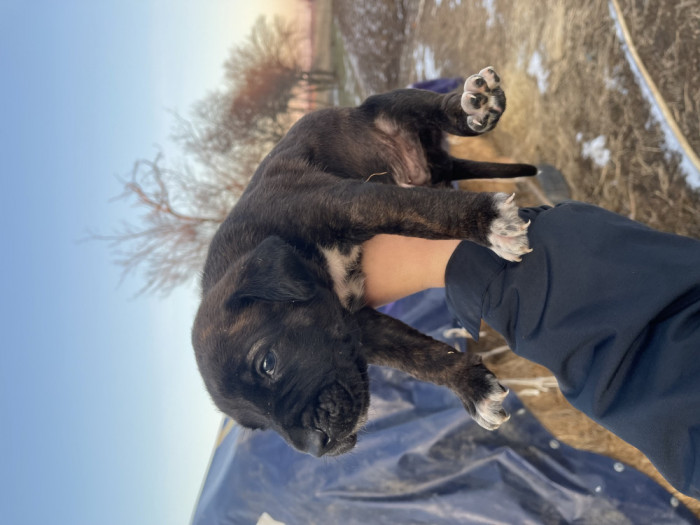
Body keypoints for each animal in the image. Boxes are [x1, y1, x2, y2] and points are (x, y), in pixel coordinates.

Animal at [191, 68, 536, 454]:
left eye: (268, 363)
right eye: (259, 426)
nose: (316, 446)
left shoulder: (348, 202)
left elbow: (422, 212)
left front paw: (488, 222)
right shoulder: (361, 325)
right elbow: (418, 356)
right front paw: (471, 386)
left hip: (389, 105)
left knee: (442, 113)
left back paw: (477, 104)